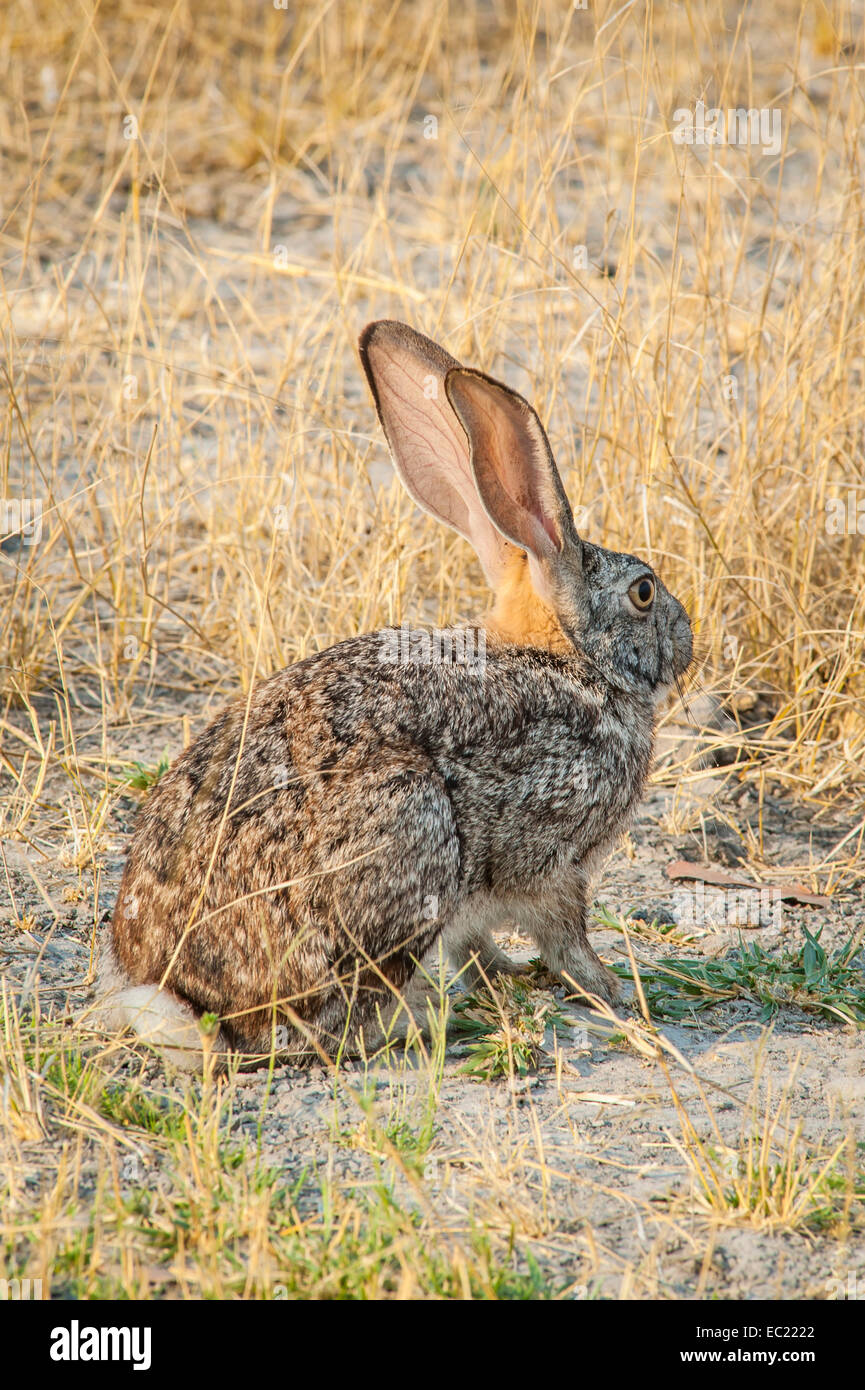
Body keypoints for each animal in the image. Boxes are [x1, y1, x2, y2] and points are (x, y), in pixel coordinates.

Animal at [98, 319, 695, 1067]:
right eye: (643, 593)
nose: (688, 637)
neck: (568, 660)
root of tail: (180, 990)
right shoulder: (553, 863)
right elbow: (566, 940)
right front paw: (610, 990)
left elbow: (475, 946)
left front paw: (504, 977)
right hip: (409, 828)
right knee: (323, 1029)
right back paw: (421, 1022)